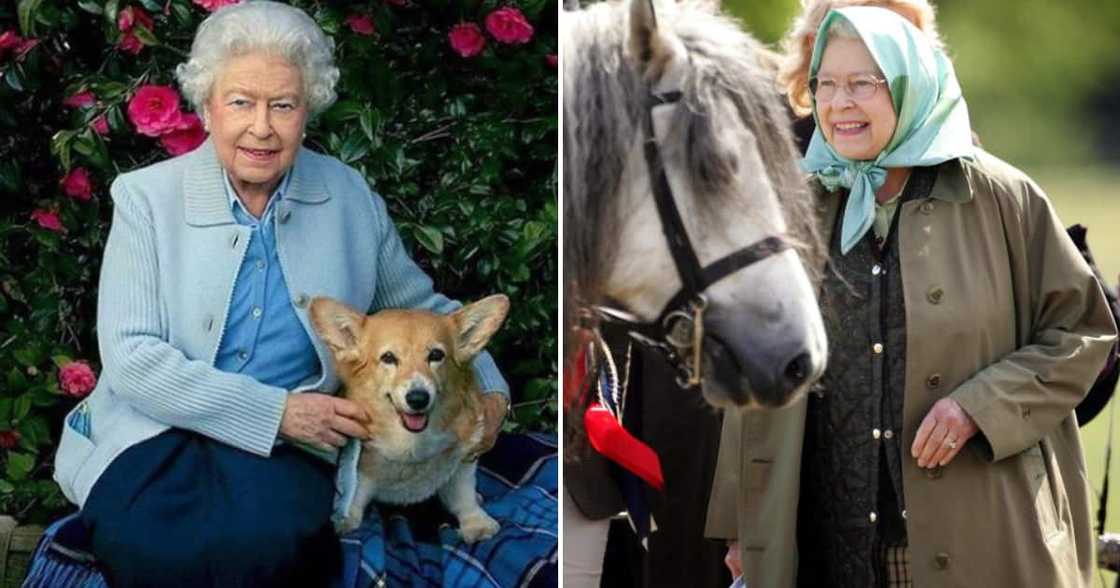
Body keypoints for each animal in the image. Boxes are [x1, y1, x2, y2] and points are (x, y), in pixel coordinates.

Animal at [311, 293, 512, 542]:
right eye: (388, 358)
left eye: (436, 355)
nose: (418, 398)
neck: (411, 444)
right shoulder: (362, 467)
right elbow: (355, 491)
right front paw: (345, 518)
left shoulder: (463, 458)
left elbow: (463, 494)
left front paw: (477, 523)